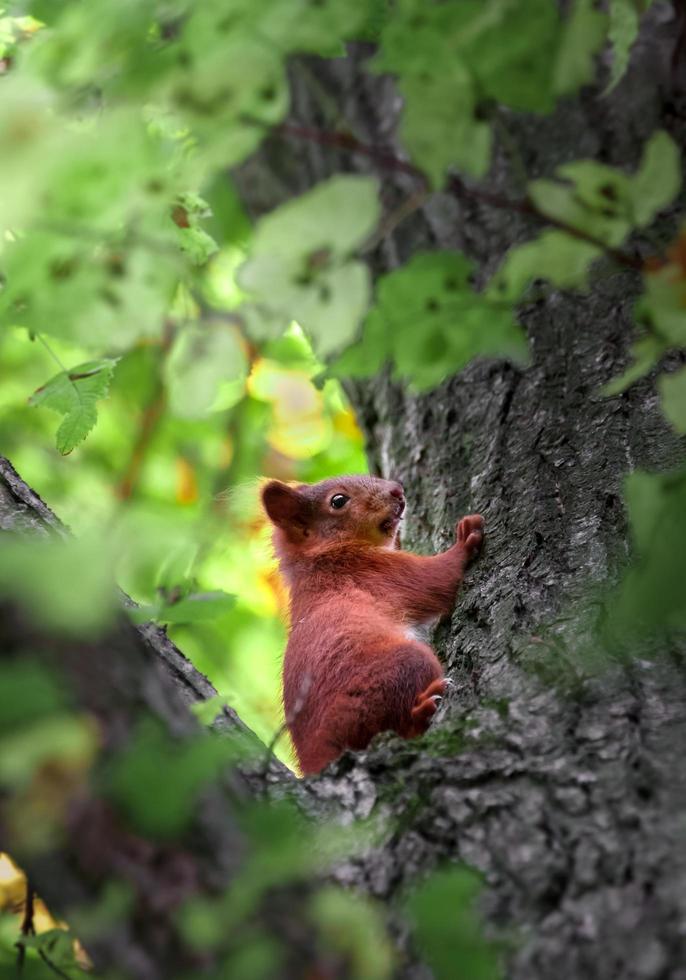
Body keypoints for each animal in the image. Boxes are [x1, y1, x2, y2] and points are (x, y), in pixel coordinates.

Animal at [262, 478, 484, 776]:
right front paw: (465, 538)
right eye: (338, 501)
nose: (397, 490)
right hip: (401, 668)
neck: (321, 557)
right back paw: (424, 711)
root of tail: (317, 759)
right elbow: (438, 577)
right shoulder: (377, 571)